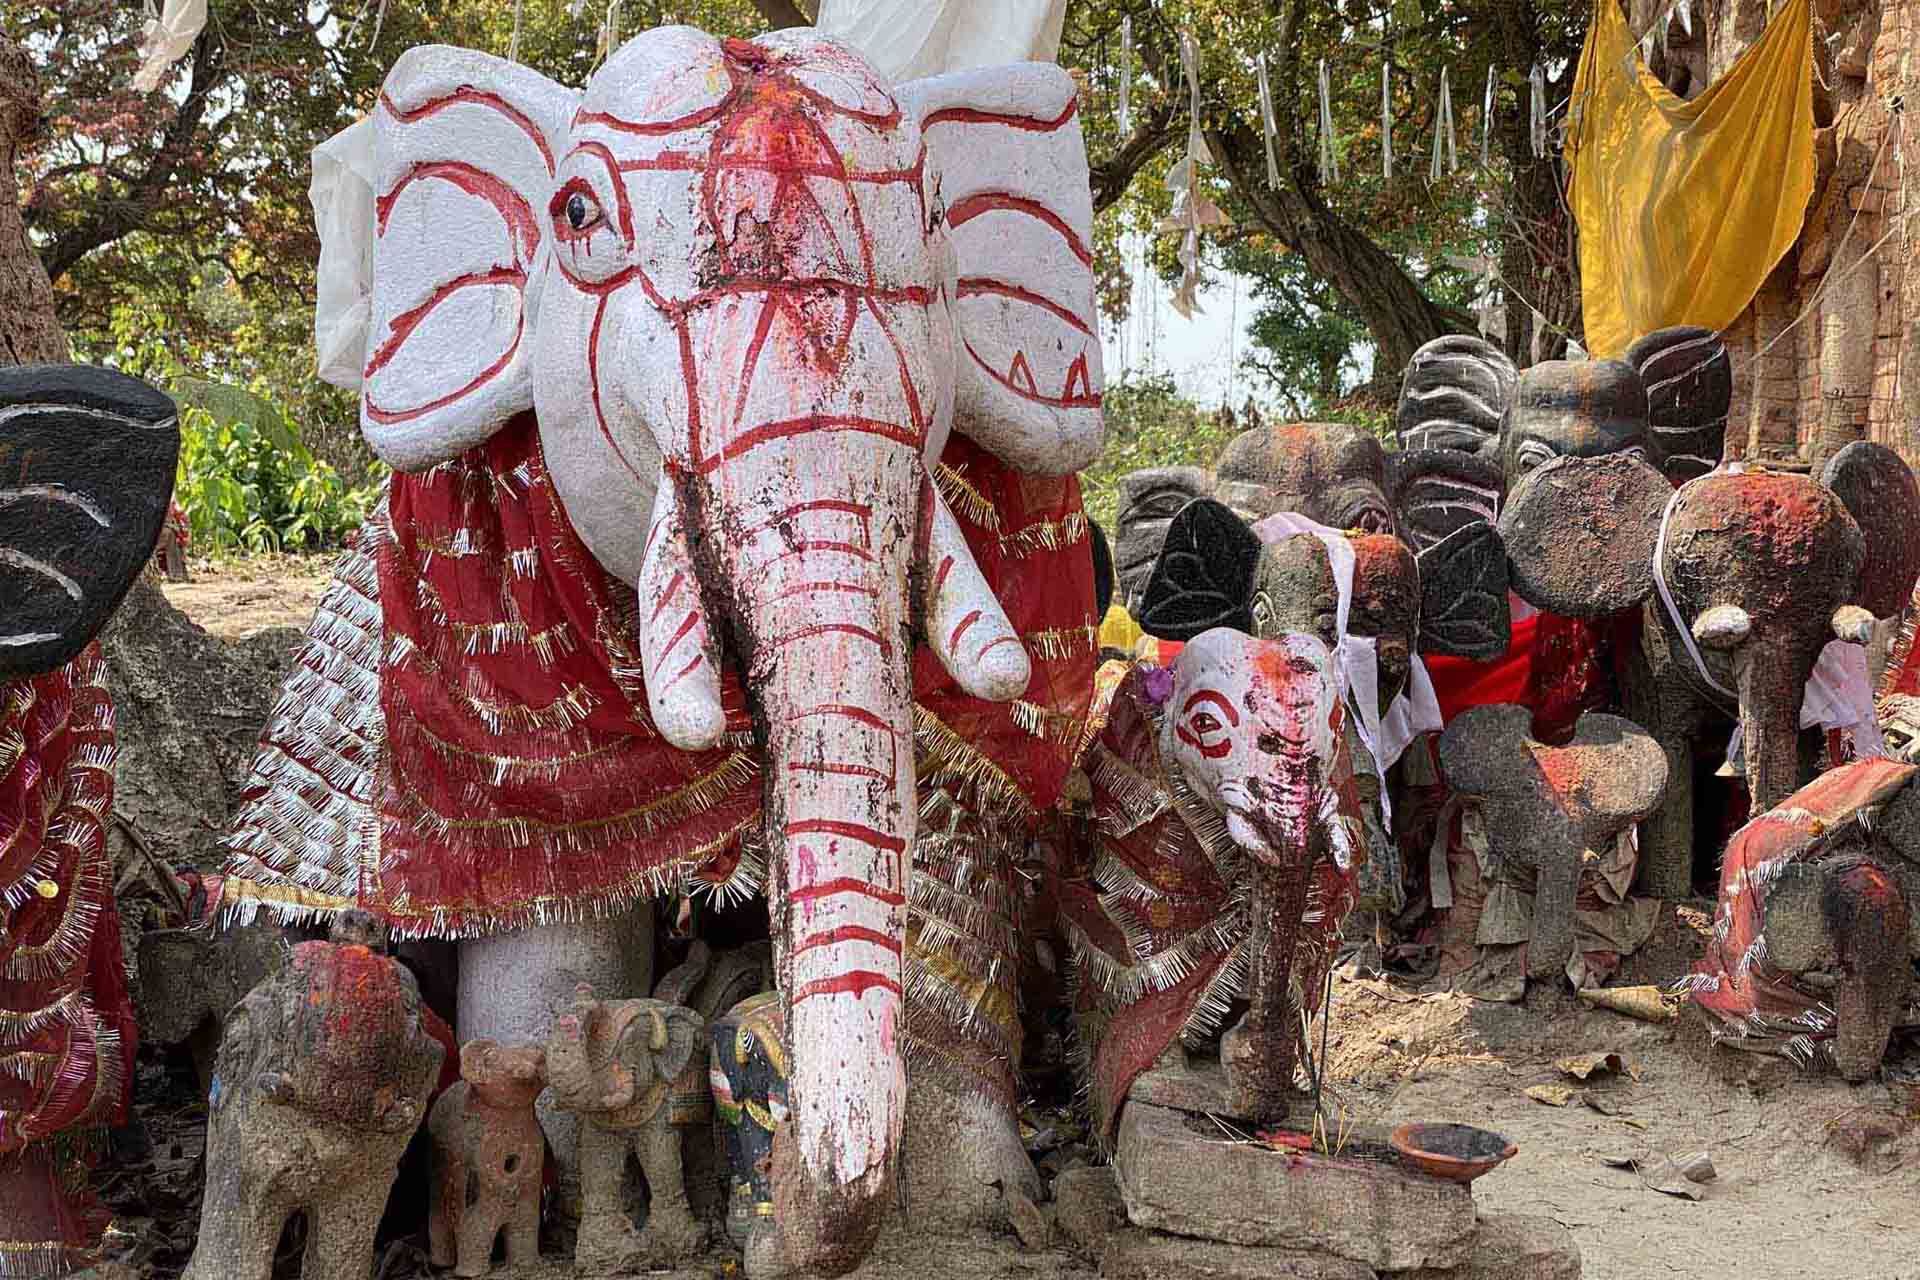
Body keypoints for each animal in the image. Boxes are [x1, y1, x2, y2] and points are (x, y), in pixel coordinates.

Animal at [432, 1043, 552, 1274]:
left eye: (531, 1052)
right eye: (501, 1059)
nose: (539, 1059)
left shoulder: (528, 1191)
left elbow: (526, 1226)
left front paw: (526, 1265)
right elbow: (474, 1230)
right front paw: (470, 1273)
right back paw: (440, 1263)